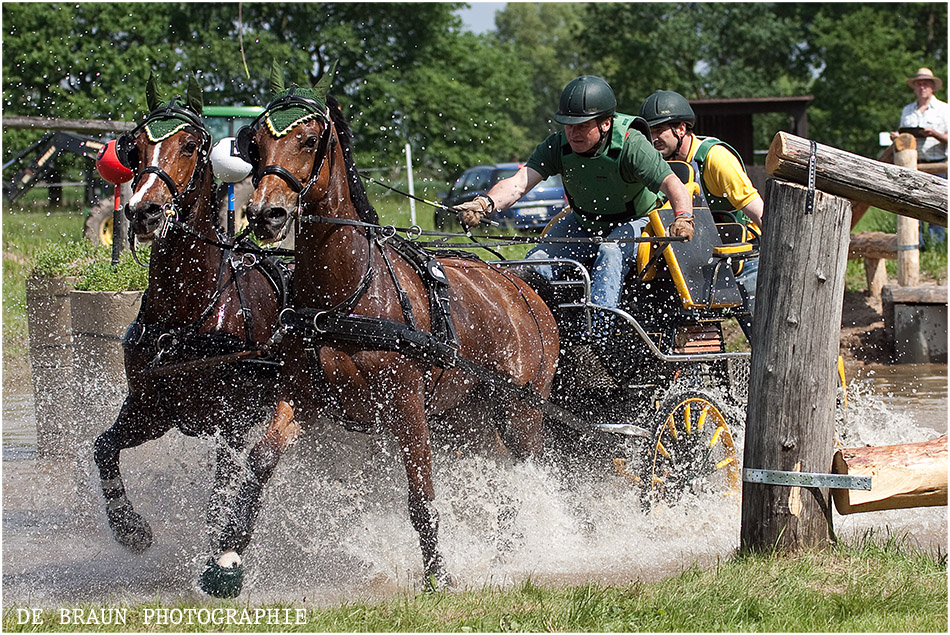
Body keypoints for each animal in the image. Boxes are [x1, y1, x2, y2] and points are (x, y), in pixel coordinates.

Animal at [93, 78, 288, 556]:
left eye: (190, 145)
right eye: (135, 147)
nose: (143, 210)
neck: (187, 313)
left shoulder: (232, 422)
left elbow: (223, 493)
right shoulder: (150, 409)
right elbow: (103, 447)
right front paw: (129, 528)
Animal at [200, 74, 556, 596]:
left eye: (309, 140)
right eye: (256, 143)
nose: (266, 214)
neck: (346, 295)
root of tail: (524, 289)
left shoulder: (407, 407)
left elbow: (422, 496)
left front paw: (437, 574)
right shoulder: (300, 396)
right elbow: (260, 462)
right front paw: (227, 557)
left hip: (520, 412)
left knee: (527, 472)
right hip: (466, 415)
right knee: (497, 471)